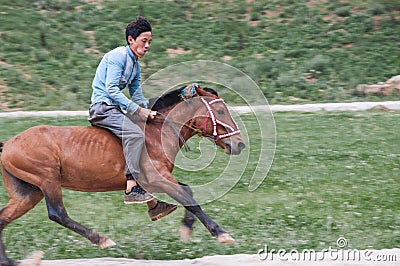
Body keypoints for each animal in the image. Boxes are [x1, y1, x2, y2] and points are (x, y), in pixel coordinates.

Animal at [0, 84, 245, 264]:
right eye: (221, 111)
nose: (239, 144)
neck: (157, 133)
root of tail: (8, 143)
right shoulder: (158, 178)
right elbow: (189, 198)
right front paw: (221, 233)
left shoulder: (158, 180)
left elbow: (187, 192)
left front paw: (183, 225)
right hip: (48, 180)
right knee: (57, 213)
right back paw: (101, 239)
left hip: (28, 193)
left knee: (3, 218)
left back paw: (9, 261)